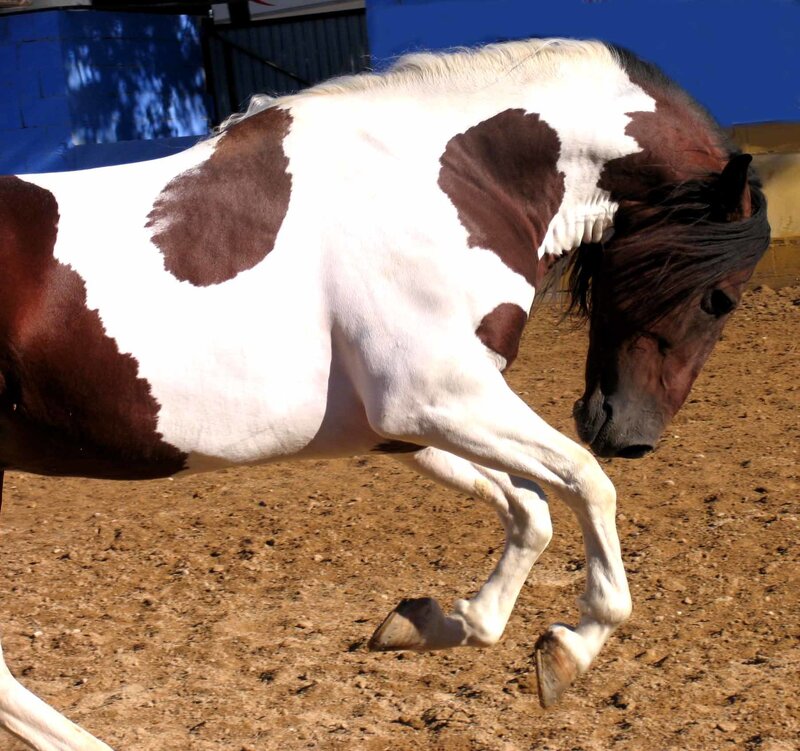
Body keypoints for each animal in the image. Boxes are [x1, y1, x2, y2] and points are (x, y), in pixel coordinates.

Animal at [0, 38, 769, 750]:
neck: (445, 177)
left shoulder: (404, 425)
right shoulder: (433, 396)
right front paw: (570, 649)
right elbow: (586, 483)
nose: (628, 433)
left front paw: (433, 621)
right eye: (721, 299)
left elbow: (529, 509)